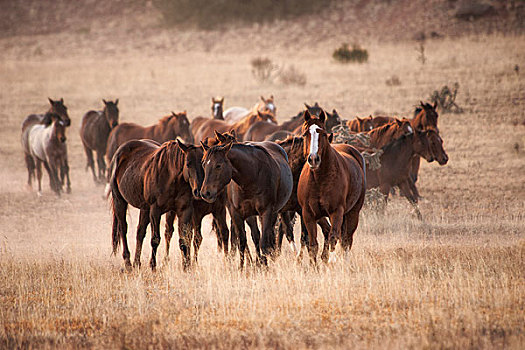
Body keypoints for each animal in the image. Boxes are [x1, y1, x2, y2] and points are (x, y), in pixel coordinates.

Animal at [109, 138, 203, 270]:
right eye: (188, 163)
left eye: (203, 163)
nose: (198, 191)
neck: (172, 178)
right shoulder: (155, 211)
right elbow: (155, 239)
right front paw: (153, 266)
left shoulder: (185, 210)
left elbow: (184, 240)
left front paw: (187, 267)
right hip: (120, 202)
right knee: (123, 229)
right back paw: (128, 263)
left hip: (144, 209)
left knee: (140, 232)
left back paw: (136, 263)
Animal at [199, 138, 292, 266]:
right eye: (203, 164)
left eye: (218, 165)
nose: (205, 193)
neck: (251, 177)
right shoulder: (236, 213)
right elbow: (242, 242)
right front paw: (242, 268)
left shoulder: (266, 212)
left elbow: (264, 242)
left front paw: (265, 265)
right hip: (251, 215)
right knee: (256, 236)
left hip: (273, 213)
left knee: (269, 236)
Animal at [296, 110, 366, 264]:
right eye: (305, 134)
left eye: (323, 134)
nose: (313, 159)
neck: (319, 180)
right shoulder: (308, 214)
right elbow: (313, 245)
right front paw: (315, 266)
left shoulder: (336, 212)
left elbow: (333, 237)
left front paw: (330, 261)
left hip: (353, 213)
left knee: (346, 240)